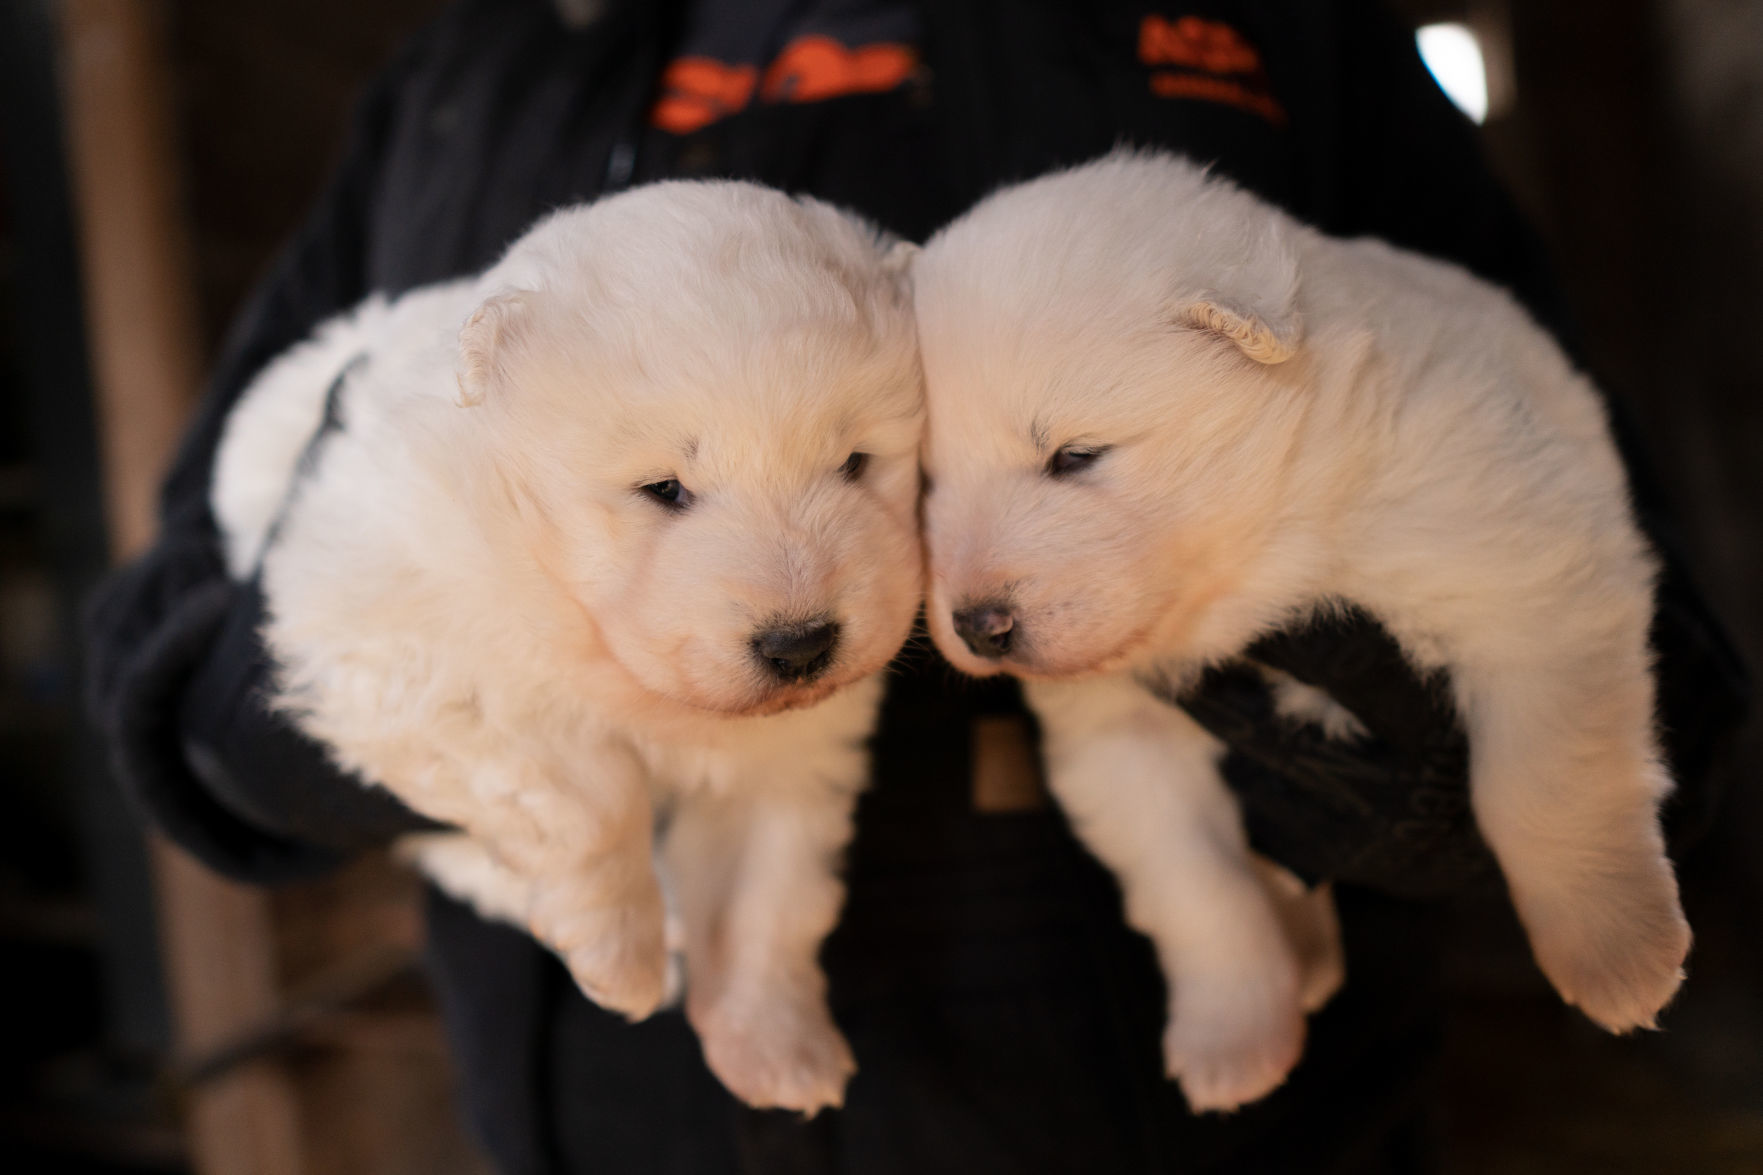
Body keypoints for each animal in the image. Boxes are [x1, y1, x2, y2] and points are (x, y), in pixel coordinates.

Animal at [209, 176, 923, 1107]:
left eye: (854, 463)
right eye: (663, 488)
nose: (800, 646)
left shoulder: (791, 755)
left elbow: (766, 893)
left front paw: (777, 1049)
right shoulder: (397, 652)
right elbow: (583, 789)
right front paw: (619, 956)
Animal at [909, 153, 1692, 1107]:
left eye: (1074, 456)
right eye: (925, 483)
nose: (975, 626)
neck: (1256, 562)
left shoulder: (1525, 576)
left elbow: (1541, 783)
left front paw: (1615, 953)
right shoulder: (1119, 732)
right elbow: (1195, 884)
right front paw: (1234, 1037)